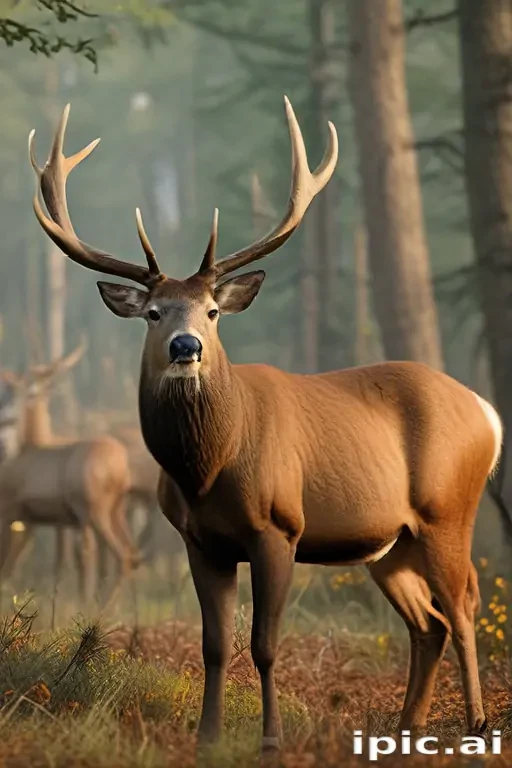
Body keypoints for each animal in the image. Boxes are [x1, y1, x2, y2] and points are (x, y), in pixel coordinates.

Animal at [28, 98, 503, 756]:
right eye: (153, 313)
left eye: (212, 310)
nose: (186, 347)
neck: (210, 468)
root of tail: (487, 412)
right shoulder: (199, 539)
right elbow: (214, 645)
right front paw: (206, 736)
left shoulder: (280, 526)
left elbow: (266, 645)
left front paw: (271, 740)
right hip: (389, 542)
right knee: (427, 623)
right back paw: (408, 726)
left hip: (447, 510)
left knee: (461, 607)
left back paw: (476, 722)